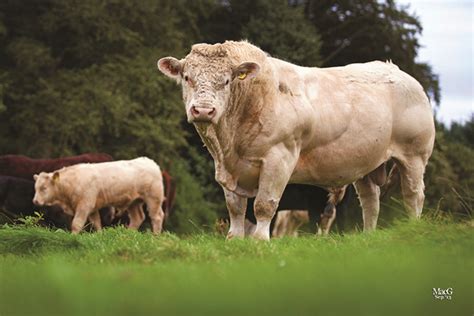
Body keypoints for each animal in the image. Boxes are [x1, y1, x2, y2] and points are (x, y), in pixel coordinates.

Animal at [157, 40, 436, 241]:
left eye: (226, 81)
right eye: (187, 78)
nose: (203, 110)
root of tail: (396, 70)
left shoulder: (279, 158)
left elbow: (264, 205)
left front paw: (260, 242)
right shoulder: (227, 167)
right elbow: (235, 208)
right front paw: (234, 240)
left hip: (414, 156)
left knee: (413, 196)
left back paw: (413, 228)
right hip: (366, 163)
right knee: (371, 201)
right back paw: (368, 237)